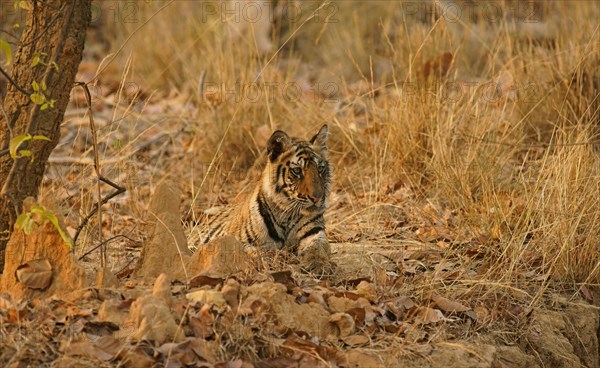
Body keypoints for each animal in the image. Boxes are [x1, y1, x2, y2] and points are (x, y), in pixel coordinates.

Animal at [190, 126, 332, 274]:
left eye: (320, 169)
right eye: (297, 170)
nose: (317, 197)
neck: (288, 214)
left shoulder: (314, 234)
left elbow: (318, 248)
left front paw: (319, 265)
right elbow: (252, 250)